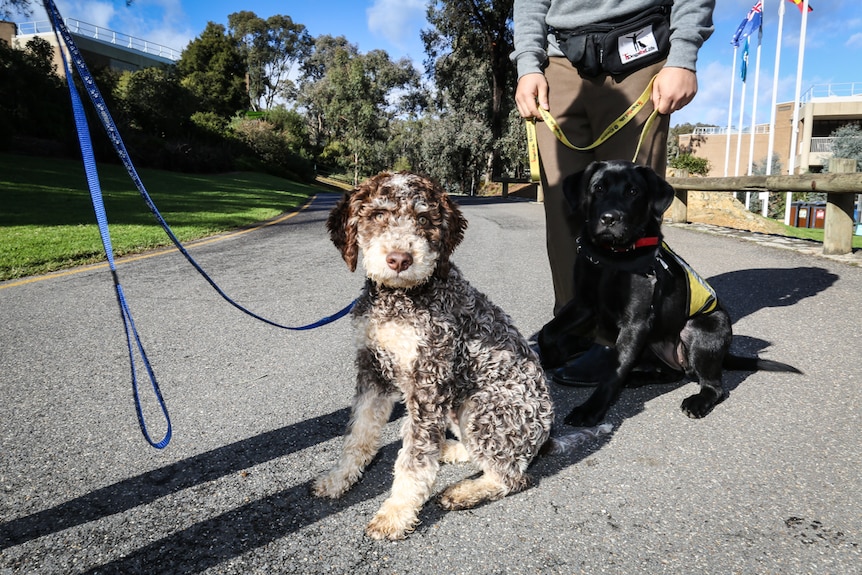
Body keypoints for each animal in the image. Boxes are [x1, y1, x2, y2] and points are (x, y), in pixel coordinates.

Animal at [316, 170, 552, 540]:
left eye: (425, 219)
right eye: (378, 215)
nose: (400, 259)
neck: (399, 300)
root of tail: (545, 435)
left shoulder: (428, 384)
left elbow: (414, 460)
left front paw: (396, 513)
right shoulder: (372, 371)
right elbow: (358, 435)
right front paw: (339, 479)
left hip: (484, 405)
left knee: (513, 476)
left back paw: (464, 491)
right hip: (459, 407)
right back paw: (450, 449)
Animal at [540, 161, 804, 428]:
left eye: (633, 191)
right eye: (598, 188)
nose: (609, 218)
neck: (610, 258)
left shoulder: (635, 323)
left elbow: (614, 370)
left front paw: (591, 409)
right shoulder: (583, 303)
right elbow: (547, 331)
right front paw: (551, 357)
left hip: (702, 328)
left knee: (714, 387)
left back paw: (696, 401)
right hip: (651, 345)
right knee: (673, 374)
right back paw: (638, 378)